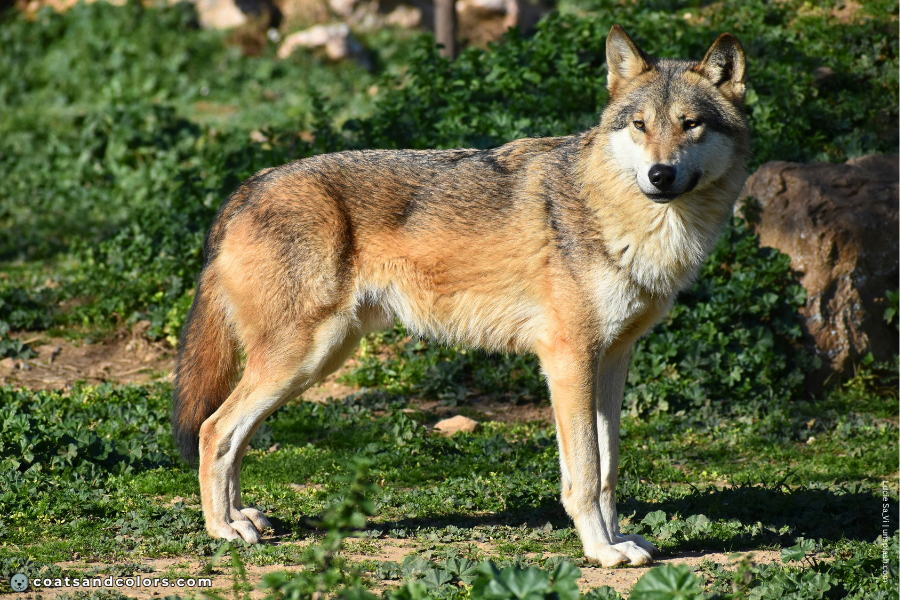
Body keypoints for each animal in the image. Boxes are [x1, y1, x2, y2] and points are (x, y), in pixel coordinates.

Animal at [172, 24, 749, 567]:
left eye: (690, 124)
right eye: (640, 125)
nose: (660, 174)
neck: (620, 217)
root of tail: (250, 185)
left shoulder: (611, 360)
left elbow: (608, 470)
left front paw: (621, 539)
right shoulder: (568, 360)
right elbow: (584, 474)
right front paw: (600, 552)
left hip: (314, 361)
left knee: (233, 435)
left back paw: (240, 517)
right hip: (303, 358)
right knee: (214, 429)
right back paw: (222, 530)